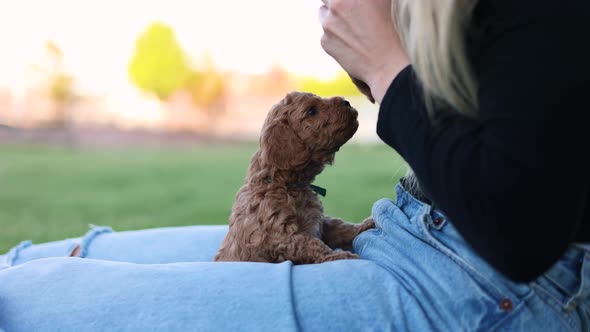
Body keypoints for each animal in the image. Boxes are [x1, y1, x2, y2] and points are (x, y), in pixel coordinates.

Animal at [215, 91, 376, 264]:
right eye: (311, 111)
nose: (347, 102)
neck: (286, 184)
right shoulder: (277, 236)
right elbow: (311, 243)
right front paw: (339, 256)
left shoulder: (320, 222)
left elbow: (340, 226)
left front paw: (368, 224)